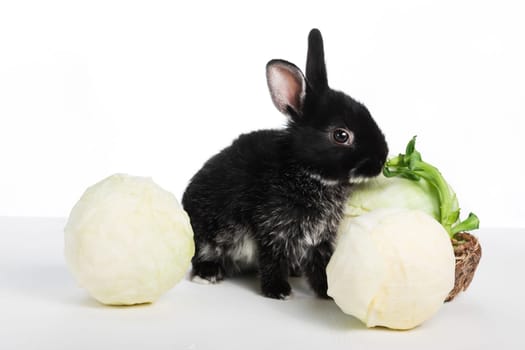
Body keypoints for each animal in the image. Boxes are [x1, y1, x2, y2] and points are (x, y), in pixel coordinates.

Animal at [182, 28, 386, 300]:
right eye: (341, 135)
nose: (382, 159)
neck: (306, 172)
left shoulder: (319, 237)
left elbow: (321, 263)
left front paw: (328, 291)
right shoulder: (271, 229)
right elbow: (272, 259)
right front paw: (278, 291)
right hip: (206, 232)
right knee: (202, 253)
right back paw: (208, 274)